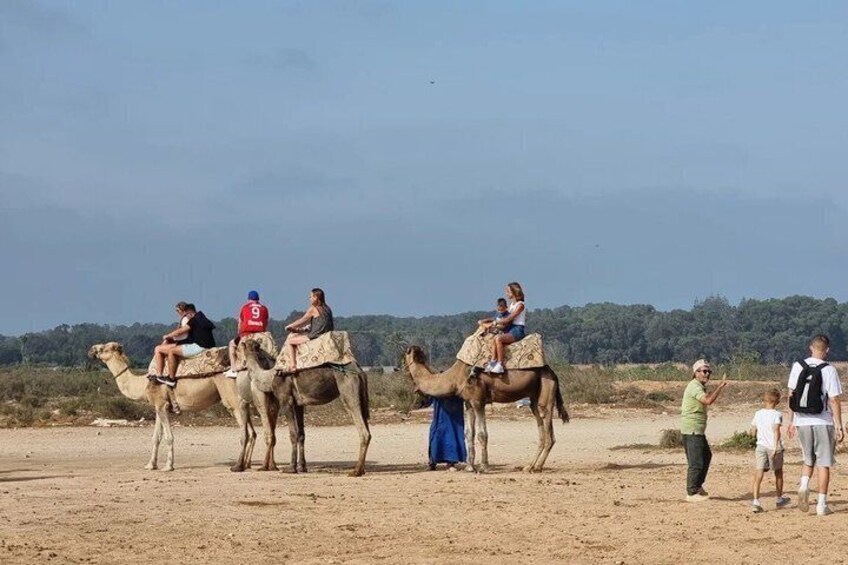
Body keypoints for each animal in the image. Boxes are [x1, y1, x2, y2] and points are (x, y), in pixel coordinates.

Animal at [88, 342, 257, 472]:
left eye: (104, 348)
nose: (91, 350)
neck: (143, 383)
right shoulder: (158, 406)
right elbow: (156, 437)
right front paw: (150, 465)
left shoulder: (162, 406)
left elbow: (169, 437)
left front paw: (168, 466)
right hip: (242, 400)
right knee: (252, 432)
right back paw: (247, 464)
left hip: (231, 397)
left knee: (244, 432)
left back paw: (238, 466)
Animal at [240, 338, 371, 476]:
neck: (269, 377)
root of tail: (360, 371)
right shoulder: (299, 404)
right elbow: (301, 434)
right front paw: (302, 467)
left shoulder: (285, 400)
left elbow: (293, 433)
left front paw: (291, 468)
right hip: (361, 395)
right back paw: (361, 469)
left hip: (348, 390)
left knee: (362, 428)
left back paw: (356, 471)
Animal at [402, 345, 568, 473]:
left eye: (403, 356)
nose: (400, 367)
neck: (454, 377)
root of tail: (553, 373)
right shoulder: (469, 403)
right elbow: (469, 433)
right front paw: (469, 467)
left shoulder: (478, 401)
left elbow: (482, 434)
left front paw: (484, 467)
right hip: (534, 398)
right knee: (541, 428)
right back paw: (530, 466)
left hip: (546, 390)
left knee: (548, 428)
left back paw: (538, 467)